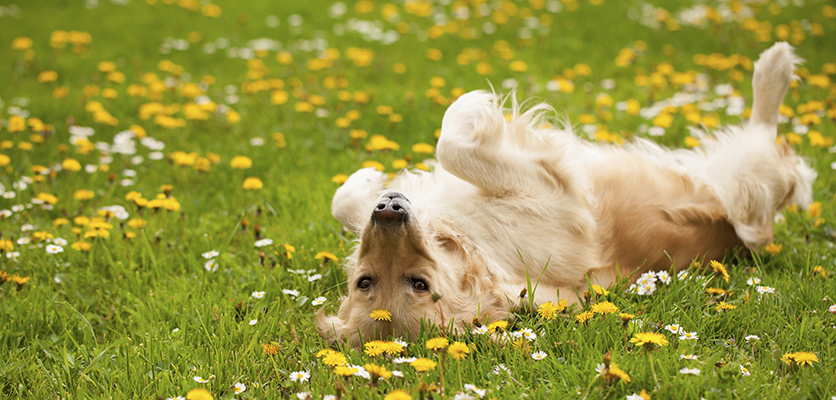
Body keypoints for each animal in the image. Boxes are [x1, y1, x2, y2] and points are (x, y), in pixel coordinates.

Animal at [316, 42, 816, 346]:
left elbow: (346, 200)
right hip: (745, 181)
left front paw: (366, 179)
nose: (390, 209)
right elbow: (453, 144)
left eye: (362, 281)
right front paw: (474, 106)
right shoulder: (557, 192)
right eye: (415, 283)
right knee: (772, 147)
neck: (471, 245)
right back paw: (774, 67)